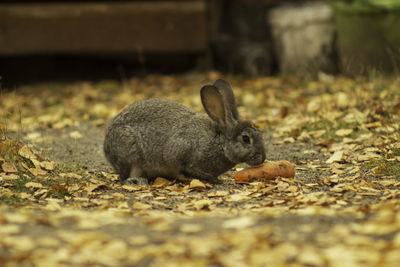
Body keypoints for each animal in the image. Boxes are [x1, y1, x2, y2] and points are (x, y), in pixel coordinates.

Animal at [103, 78, 266, 185]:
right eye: (246, 139)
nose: (262, 158)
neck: (219, 142)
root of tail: (106, 148)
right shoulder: (181, 152)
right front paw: (213, 180)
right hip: (131, 153)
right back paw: (137, 180)